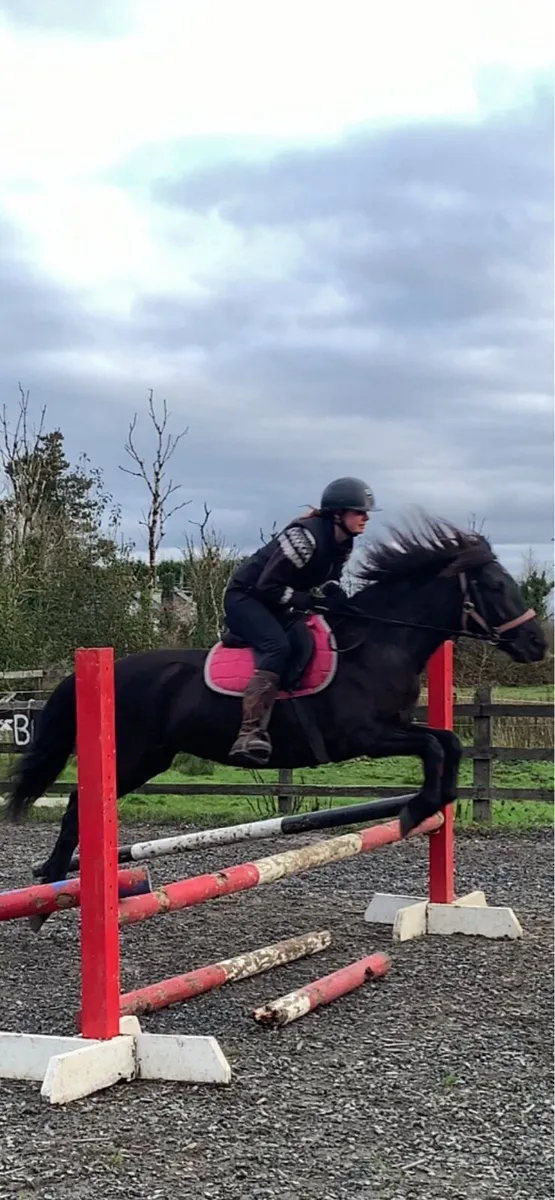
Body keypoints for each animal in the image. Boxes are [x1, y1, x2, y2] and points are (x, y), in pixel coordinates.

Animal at [4, 517, 546, 898]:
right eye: (495, 586)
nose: (538, 644)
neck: (378, 642)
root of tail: (97, 668)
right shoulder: (365, 737)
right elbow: (434, 749)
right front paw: (416, 811)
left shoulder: (395, 726)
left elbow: (448, 742)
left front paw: (435, 802)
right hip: (132, 757)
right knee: (79, 805)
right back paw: (51, 880)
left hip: (150, 758)